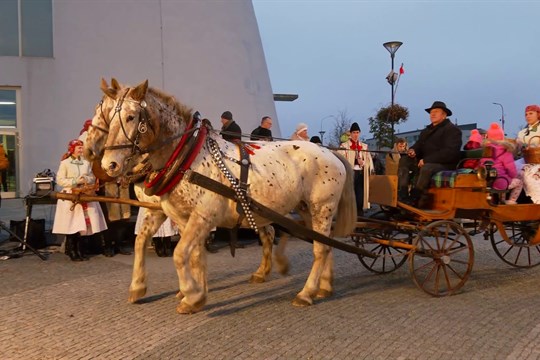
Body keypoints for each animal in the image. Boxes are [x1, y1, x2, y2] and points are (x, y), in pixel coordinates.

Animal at [96, 79, 358, 316]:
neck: (186, 157)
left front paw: (191, 294)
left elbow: (180, 254)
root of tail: (330, 152)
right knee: (323, 243)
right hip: (306, 208)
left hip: (322, 207)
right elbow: (186, 253)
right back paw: (324, 286)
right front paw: (190, 292)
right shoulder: (180, 217)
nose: (109, 164)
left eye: (131, 117)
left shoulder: (203, 216)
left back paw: (306, 292)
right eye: (109, 118)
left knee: (319, 248)